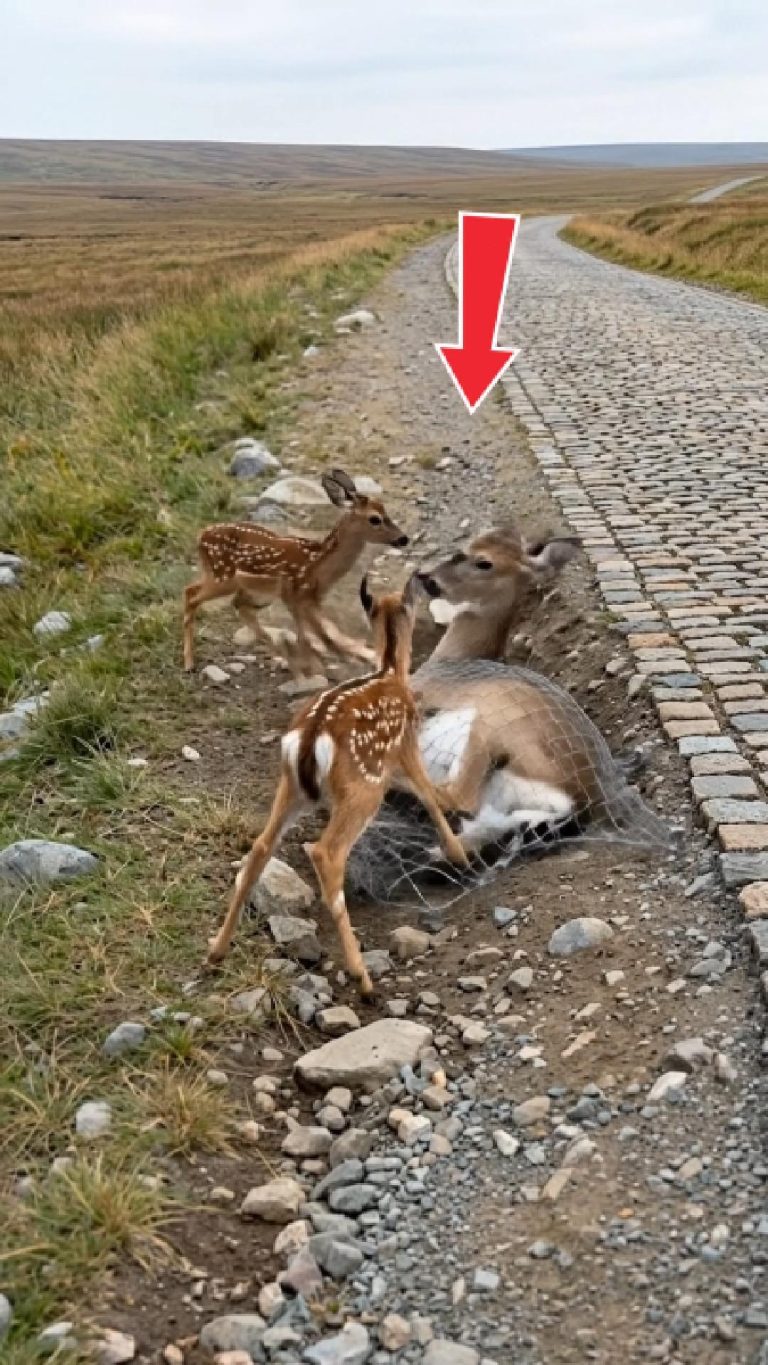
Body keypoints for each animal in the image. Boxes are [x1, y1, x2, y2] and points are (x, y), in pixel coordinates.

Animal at [182, 468, 408, 677]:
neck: (318, 565)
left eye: (385, 509)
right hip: (223, 576)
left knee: (235, 605)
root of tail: (200, 537)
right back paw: (189, 663)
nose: (403, 538)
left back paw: (285, 659)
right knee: (191, 594)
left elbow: (319, 633)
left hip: (248, 588)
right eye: (375, 519)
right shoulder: (295, 594)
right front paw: (335, 664)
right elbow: (320, 636)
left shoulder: (309, 599)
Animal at [205, 574, 469, 995]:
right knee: (326, 852)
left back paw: (215, 952)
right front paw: (458, 854)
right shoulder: (406, 743)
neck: (391, 671)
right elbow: (427, 792)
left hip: (292, 786)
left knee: (261, 845)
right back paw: (363, 978)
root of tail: (311, 738)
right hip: (363, 786)